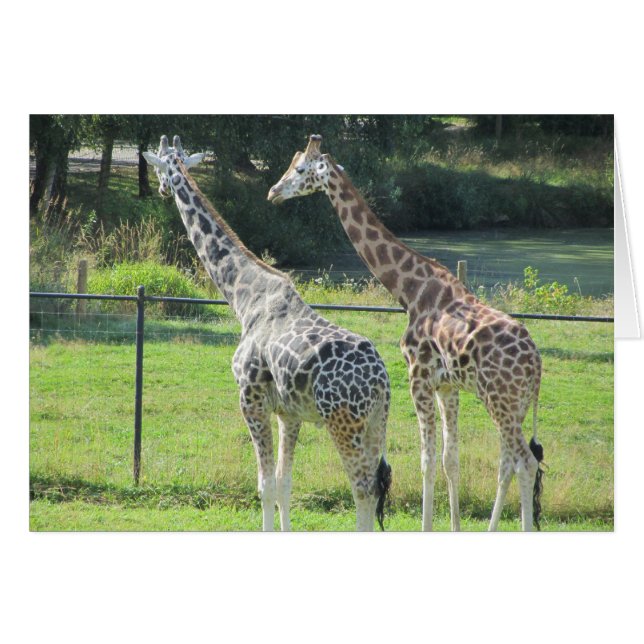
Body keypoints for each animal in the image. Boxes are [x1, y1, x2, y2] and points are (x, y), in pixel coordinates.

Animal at [143, 136, 392, 531]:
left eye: (159, 168)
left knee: (363, 489)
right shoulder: (288, 413)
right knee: (375, 486)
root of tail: (381, 380)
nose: (162, 190)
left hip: (342, 423)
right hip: (375, 424)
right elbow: (284, 483)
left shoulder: (251, 399)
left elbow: (264, 485)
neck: (244, 297)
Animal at [268, 134, 545, 532]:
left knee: (526, 461)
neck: (410, 291)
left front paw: (428, 527)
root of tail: (536, 365)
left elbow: (427, 461)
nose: (273, 192)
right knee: (509, 461)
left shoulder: (419, 376)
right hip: (515, 405)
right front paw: (454, 527)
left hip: (500, 401)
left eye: (301, 169)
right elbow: (449, 460)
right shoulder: (448, 386)